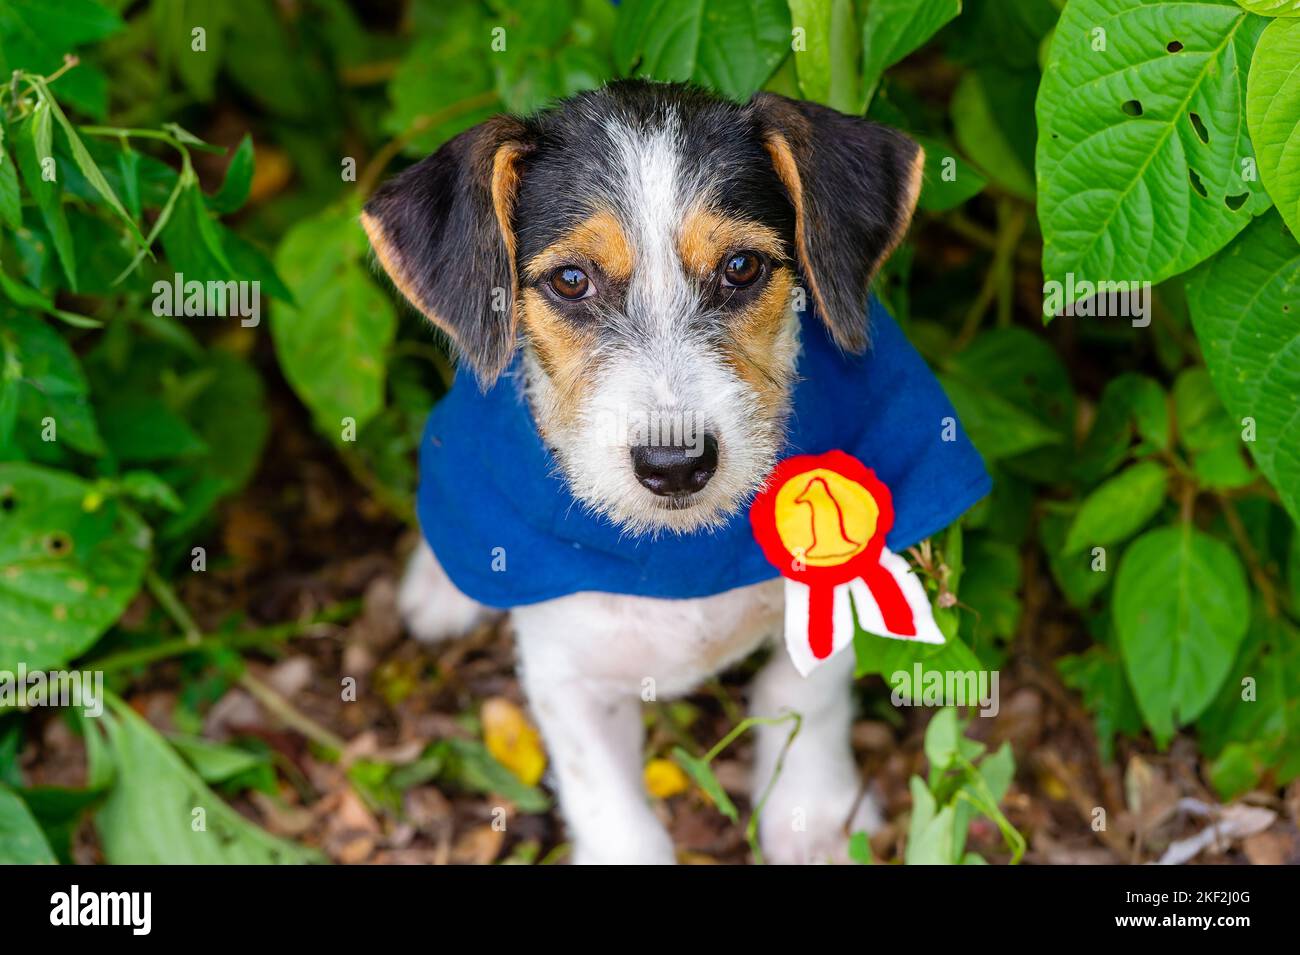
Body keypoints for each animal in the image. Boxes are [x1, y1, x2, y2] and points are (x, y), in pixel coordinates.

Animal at [366, 78, 930, 862]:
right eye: (572, 280)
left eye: (742, 268)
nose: (676, 464)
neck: (679, 551)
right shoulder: (568, 676)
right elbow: (614, 811)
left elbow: (804, 697)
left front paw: (814, 819)